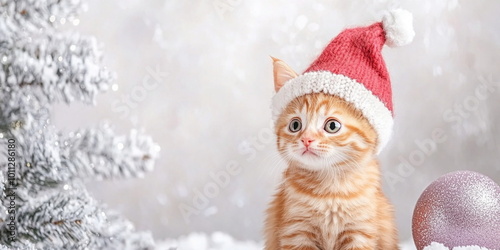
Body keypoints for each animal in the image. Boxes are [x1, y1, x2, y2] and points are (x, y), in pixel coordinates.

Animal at [266, 57, 398, 249]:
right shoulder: (296, 231)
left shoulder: (360, 232)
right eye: (295, 125)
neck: (330, 191)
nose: (306, 139)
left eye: (332, 126)